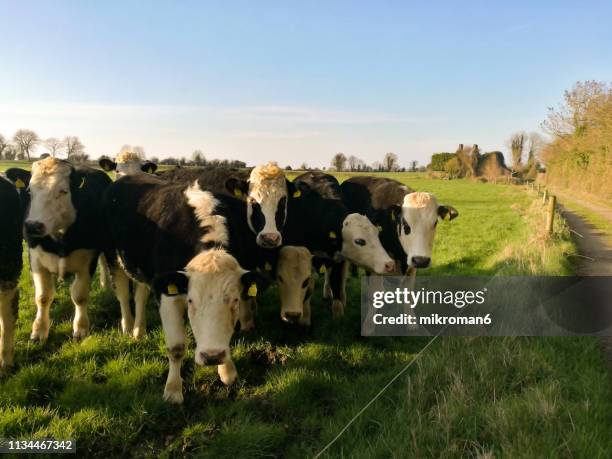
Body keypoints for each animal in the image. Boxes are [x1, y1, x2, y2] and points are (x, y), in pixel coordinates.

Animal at [12, 158, 112, 342]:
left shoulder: (88, 260)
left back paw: (106, 286)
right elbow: (43, 297)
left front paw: (80, 328)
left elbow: (80, 295)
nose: (32, 226)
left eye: (64, 191)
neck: (60, 241)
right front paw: (39, 330)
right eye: (29, 191)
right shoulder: (35, 259)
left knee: (103, 262)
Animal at [101, 172, 270, 402]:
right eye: (191, 301)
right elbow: (176, 347)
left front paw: (227, 371)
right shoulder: (167, 295)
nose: (212, 356)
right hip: (112, 255)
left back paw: (139, 330)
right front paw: (173, 390)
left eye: (235, 300)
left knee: (141, 295)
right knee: (121, 291)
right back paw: (128, 326)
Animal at [284, 171, 394, 318]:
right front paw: (305, 315)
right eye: (359, 241)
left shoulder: (338, 257)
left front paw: (338, 313)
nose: (389, 264)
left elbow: (336, 281)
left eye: (377, 235)